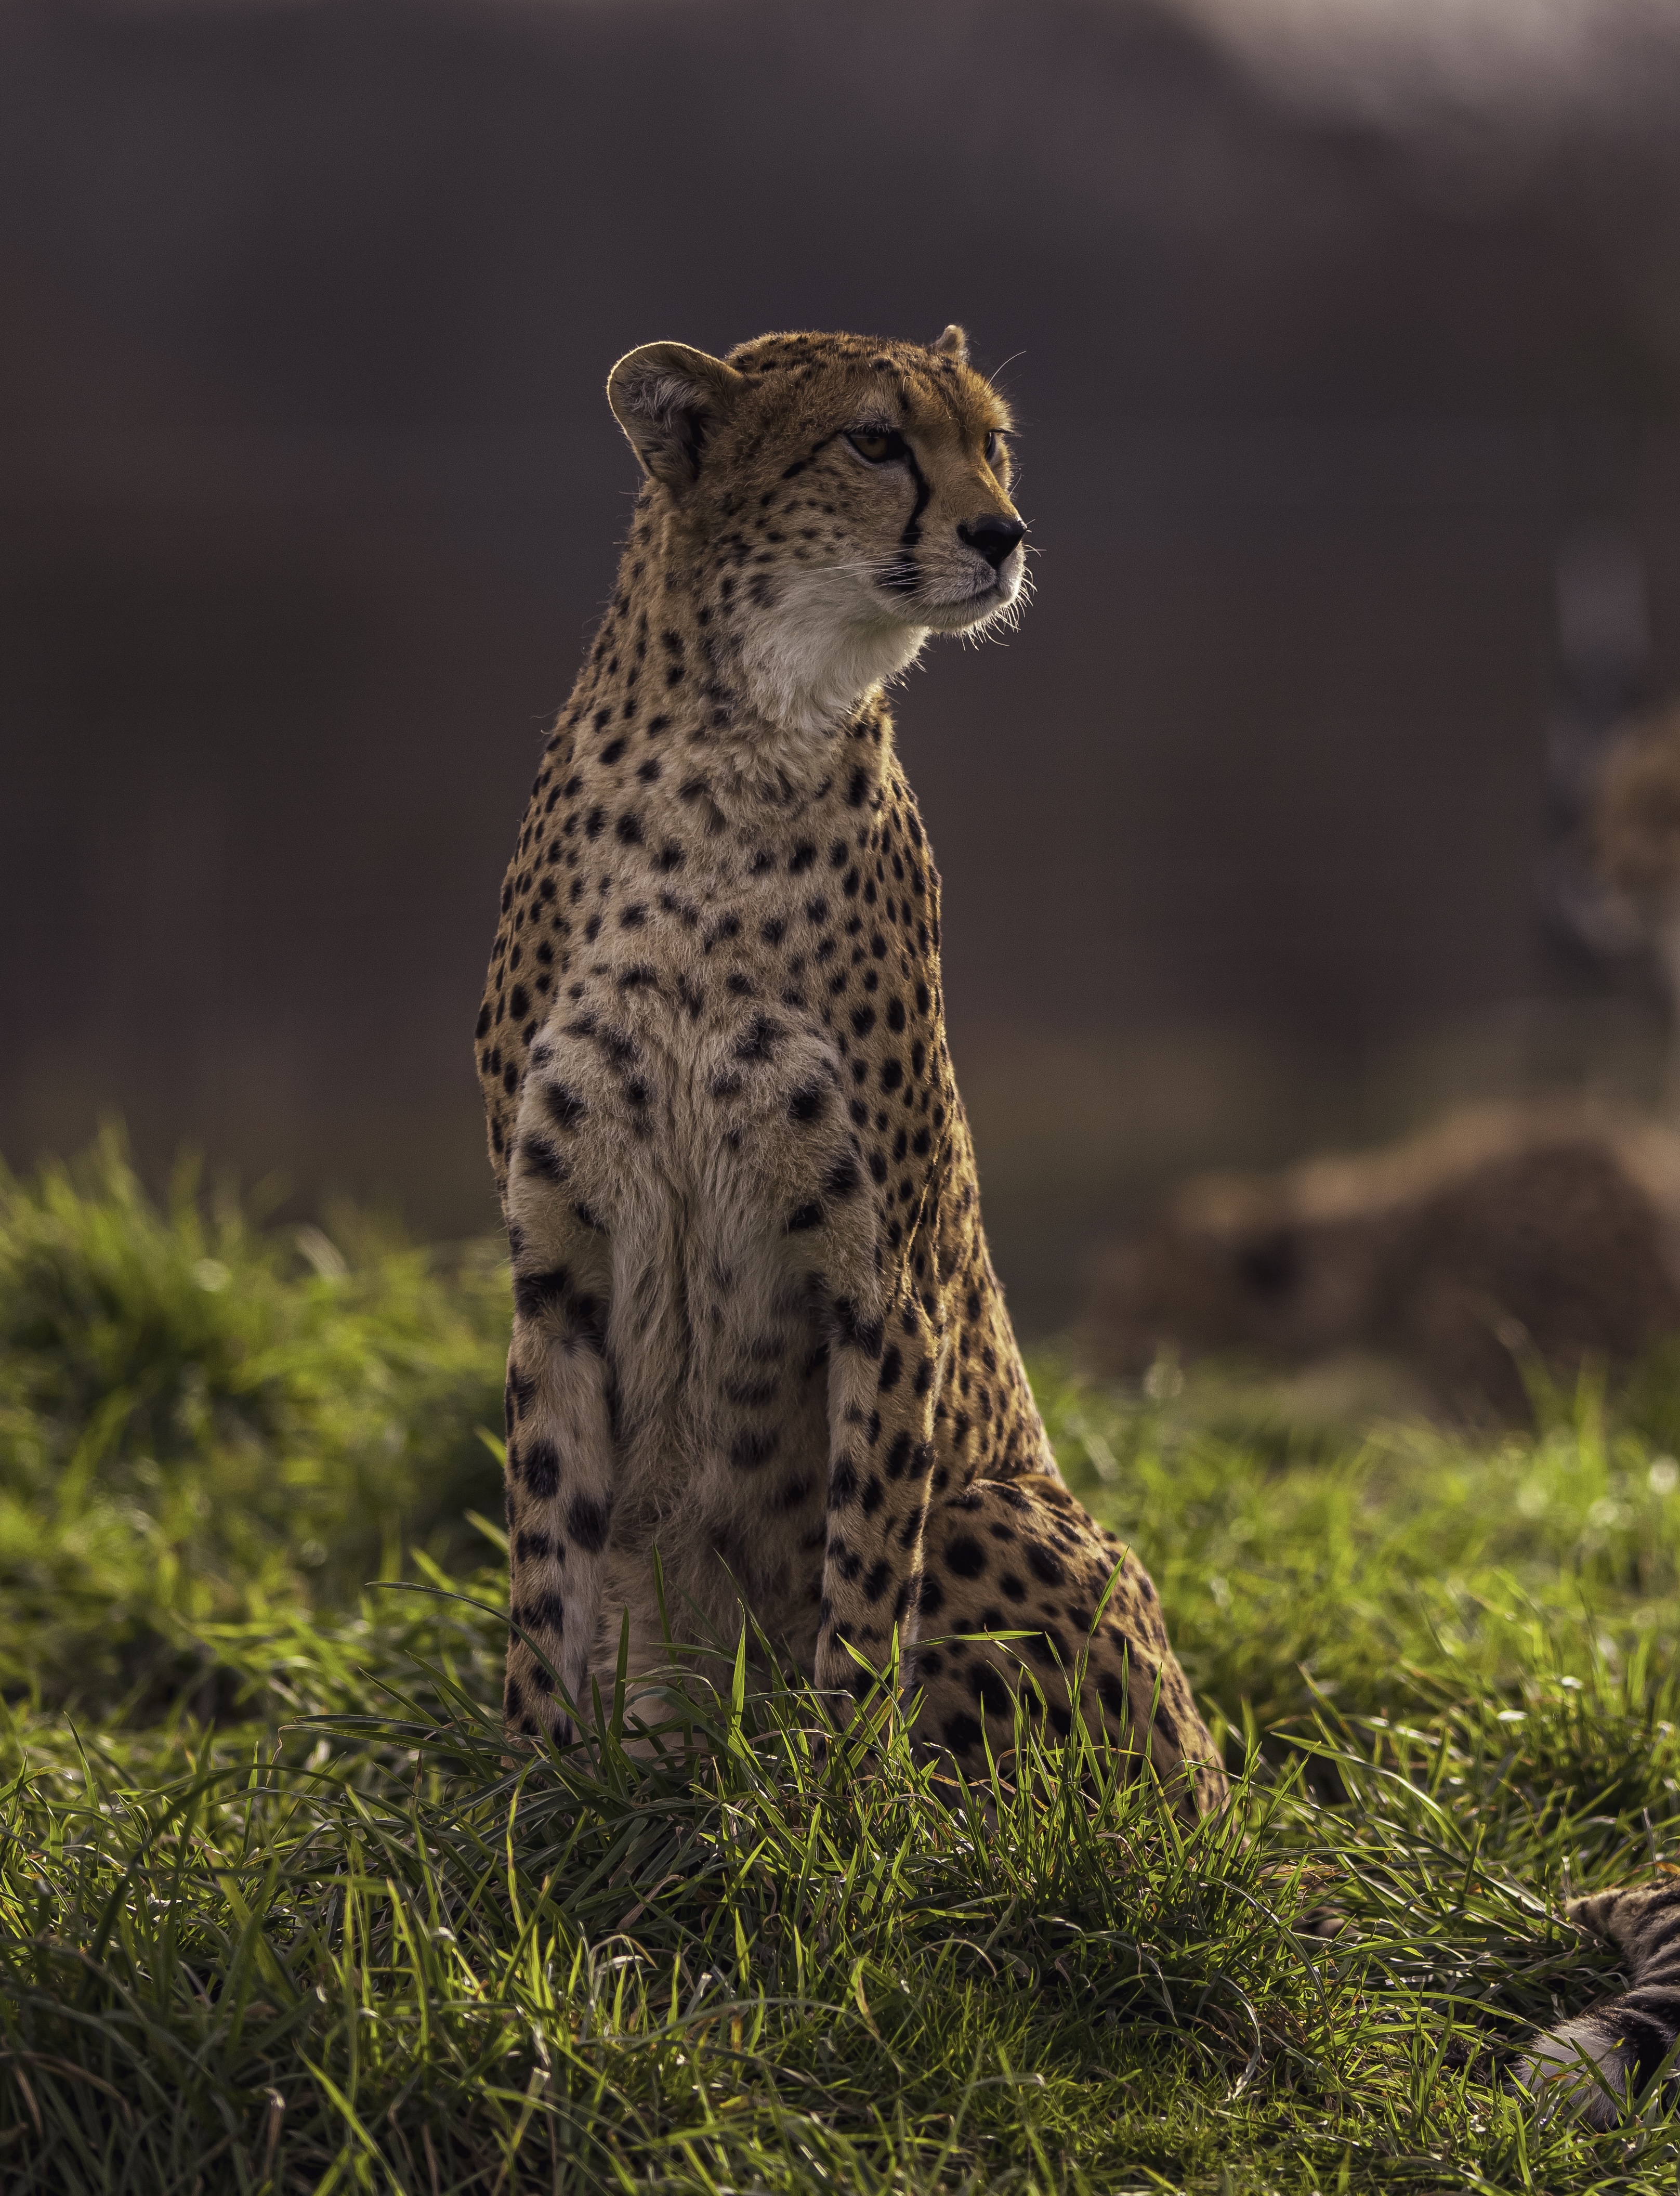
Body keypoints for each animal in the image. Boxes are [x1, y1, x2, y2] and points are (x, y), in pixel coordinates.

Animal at [473, 322, 1224, 1818]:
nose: (1003, 533)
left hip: (1007, 1518)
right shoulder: (554, 1261)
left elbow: (866, 1570)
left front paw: (842, 1811)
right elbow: (545, 1556)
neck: (736, 743)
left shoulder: (888, 1278)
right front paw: (528, 1794)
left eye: (992, 444)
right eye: (875, 441)